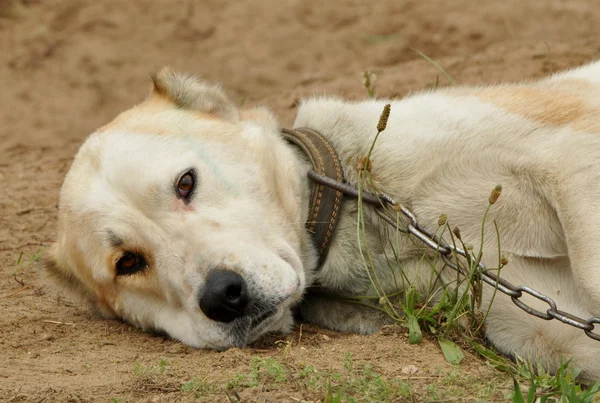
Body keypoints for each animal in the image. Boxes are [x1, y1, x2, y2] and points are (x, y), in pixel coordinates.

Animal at [43, 60, 600, 378]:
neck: (376, 224)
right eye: (128, 263)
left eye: (185, 183)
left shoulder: (570, 150)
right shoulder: (545, 327)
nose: (225, 296)